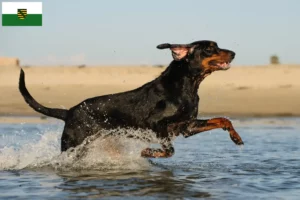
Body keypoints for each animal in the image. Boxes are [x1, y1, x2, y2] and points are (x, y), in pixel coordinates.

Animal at [18, 40, 244, 158]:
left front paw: (236, 137)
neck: (187, 86)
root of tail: (69, 111)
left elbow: (223, 119)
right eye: (210, 48)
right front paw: (148, 152)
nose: (234, 53)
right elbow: (169, 150)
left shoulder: (186, 126)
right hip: (73, 145)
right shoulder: (156, 124)